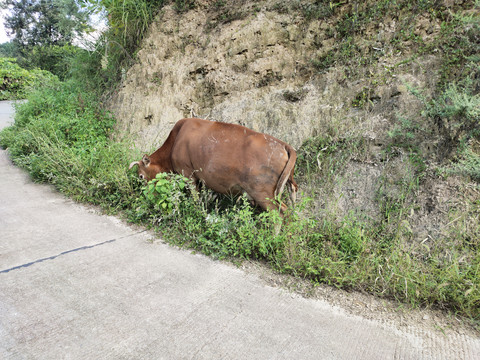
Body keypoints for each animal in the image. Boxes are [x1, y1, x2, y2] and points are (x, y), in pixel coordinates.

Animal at [129, 118, 298, 214]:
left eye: (141, 176)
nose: (148, 195)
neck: (175, 140)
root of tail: (284, 145)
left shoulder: (188, 174)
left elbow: (195, 198)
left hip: (264, 193)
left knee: (280, 213)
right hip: (286, 183)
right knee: (293, 194)